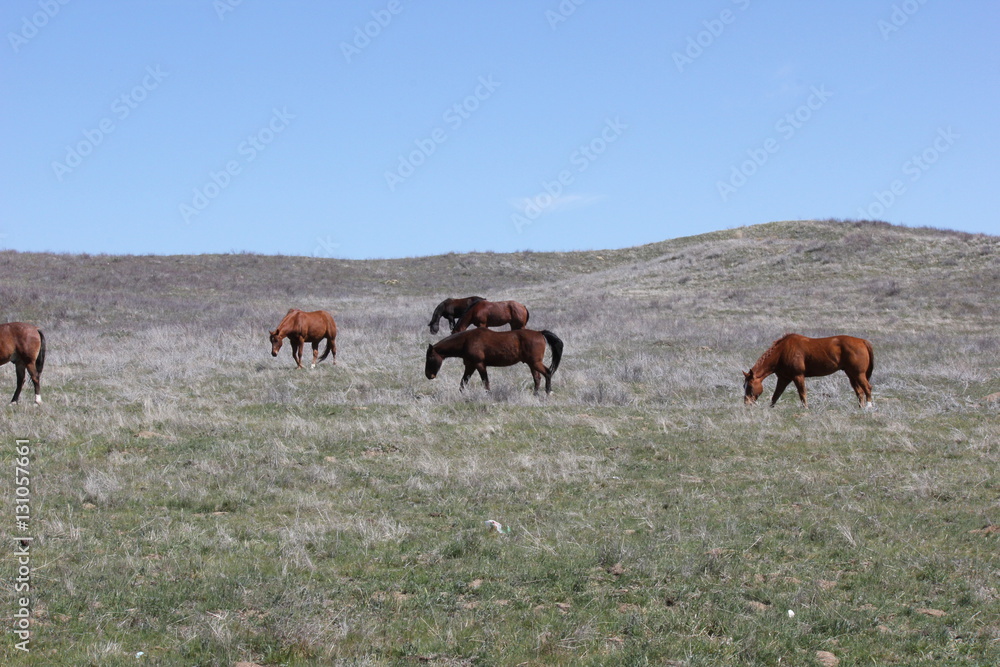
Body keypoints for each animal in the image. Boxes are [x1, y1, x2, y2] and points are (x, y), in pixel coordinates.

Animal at [425, 328, 563, 395]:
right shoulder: (470, 366)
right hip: (532, 364)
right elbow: (463, 382)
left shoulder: (480, 365)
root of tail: (540, 333)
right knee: (537, 378)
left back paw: (548, 392)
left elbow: (485, 382)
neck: (466, 341)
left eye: (430, 357)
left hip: (535, 363)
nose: (428, 375)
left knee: (547, 373)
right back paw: (535, 394)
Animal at [743, 333, 874, 409]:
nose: (746, 403)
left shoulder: (798, 376)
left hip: (859, 374)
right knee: (859, 391)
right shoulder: (784, 378)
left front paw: (805, 408)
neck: (782, 351)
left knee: (867, 388)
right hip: (851, 375)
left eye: (749, 386)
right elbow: (776, 394)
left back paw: (869, 406)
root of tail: (862, 341)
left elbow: (802, 393)